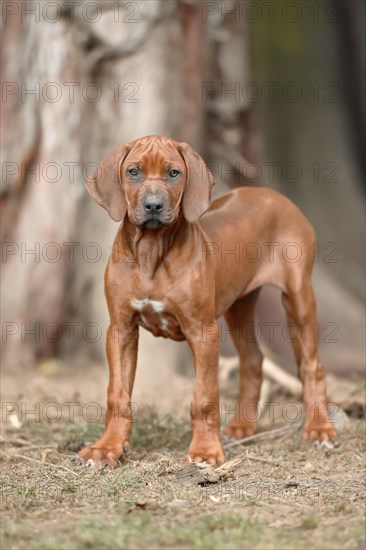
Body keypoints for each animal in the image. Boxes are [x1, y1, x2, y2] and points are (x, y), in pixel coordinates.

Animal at [78, 136, 338, 468]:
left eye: (173, 173)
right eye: (133, 172)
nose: (153, 205)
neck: (152, 252)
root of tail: (274, 194)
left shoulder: (203, 332)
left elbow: (204, 396)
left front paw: (204, 450)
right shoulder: (121, 329)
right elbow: (117, 394)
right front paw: (107, 447)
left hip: (298, 296)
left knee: (311, 365)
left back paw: (319, 429)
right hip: (240, 305)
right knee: (253, 361)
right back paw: (242, 427)